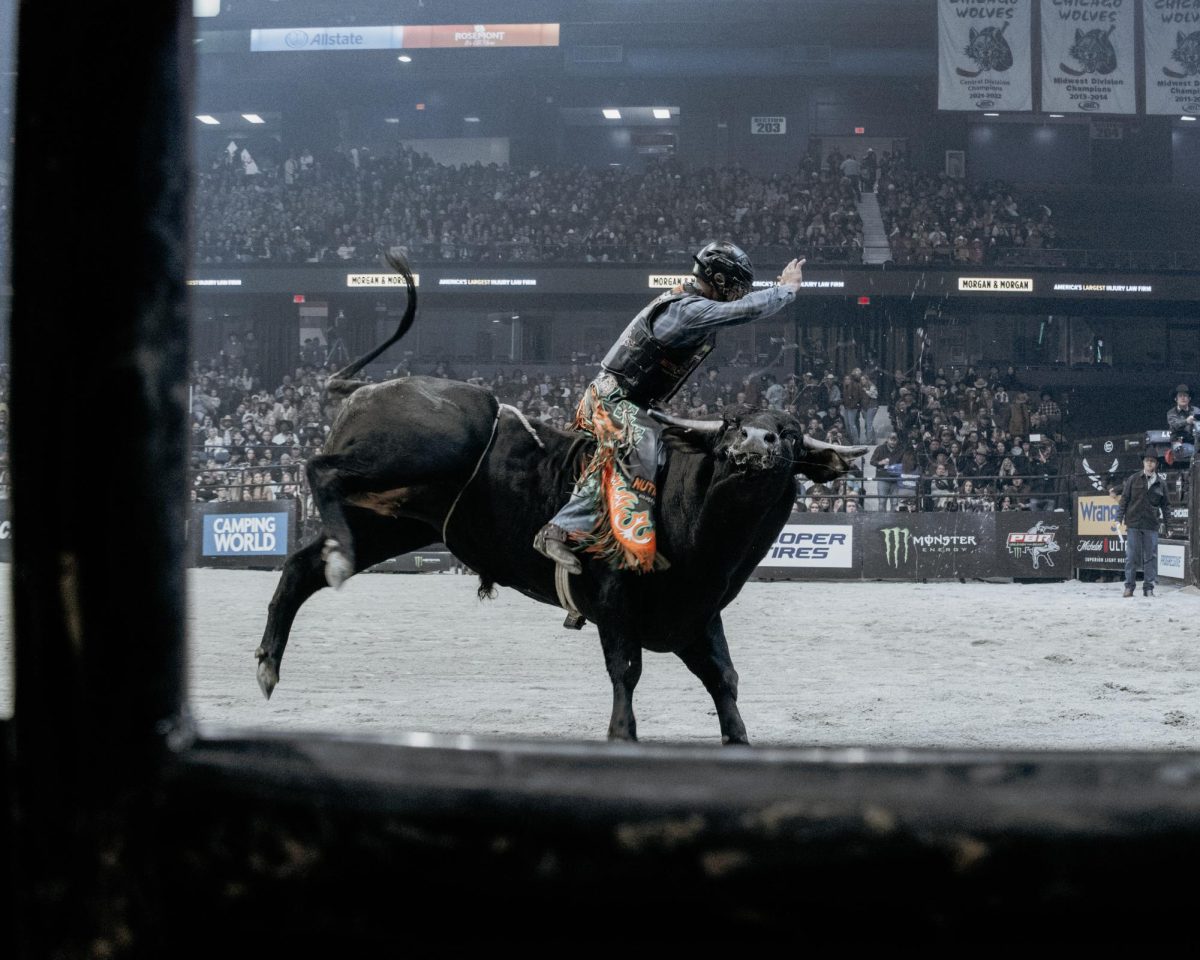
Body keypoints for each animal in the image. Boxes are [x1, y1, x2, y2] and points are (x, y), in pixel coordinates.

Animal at [258, 273, 868, 744]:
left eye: (790, 435)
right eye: (733, 426)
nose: (754, 445)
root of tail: (368, 389)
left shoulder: (697, 616)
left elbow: (724, 677)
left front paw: (737, 739)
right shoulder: (615, 601)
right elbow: (627, 669)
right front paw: (622, 734)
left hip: (391, 521)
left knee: (304, 564)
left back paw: (273, 655)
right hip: (417, 457)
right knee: (320, 470)